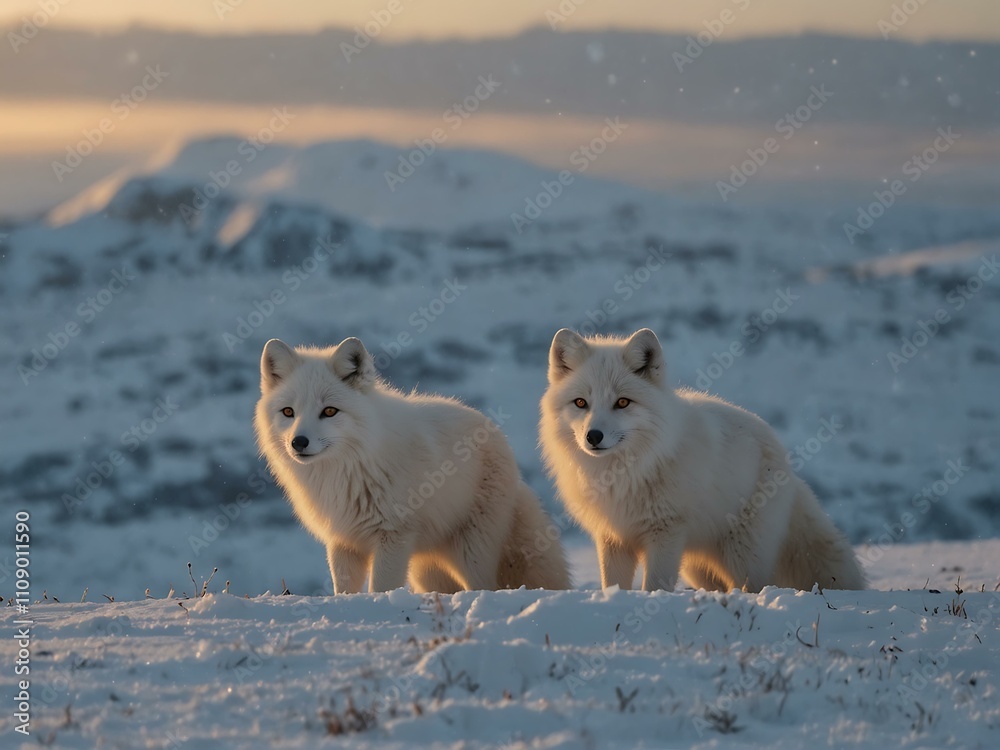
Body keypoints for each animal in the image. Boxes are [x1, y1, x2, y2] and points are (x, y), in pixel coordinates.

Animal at [255, 337, 570, 594]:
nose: (298, 442)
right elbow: (343, 590)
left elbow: (381, 588)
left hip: (472, 552)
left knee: (485, 587)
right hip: (427, 569)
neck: (347, 469)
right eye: (288, 412)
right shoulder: (343, 541)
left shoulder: (393, 536)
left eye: (329, 411)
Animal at [539, 328, 866, 592]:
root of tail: (786, 460)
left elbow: (654, 586)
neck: (625, 473)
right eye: (581, 403)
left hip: (741, 556)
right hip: (698, 567)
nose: (593, 436)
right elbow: (613, 584)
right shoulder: (613, 538)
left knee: (754, 587)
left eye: (622, 402)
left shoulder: (665, 532)